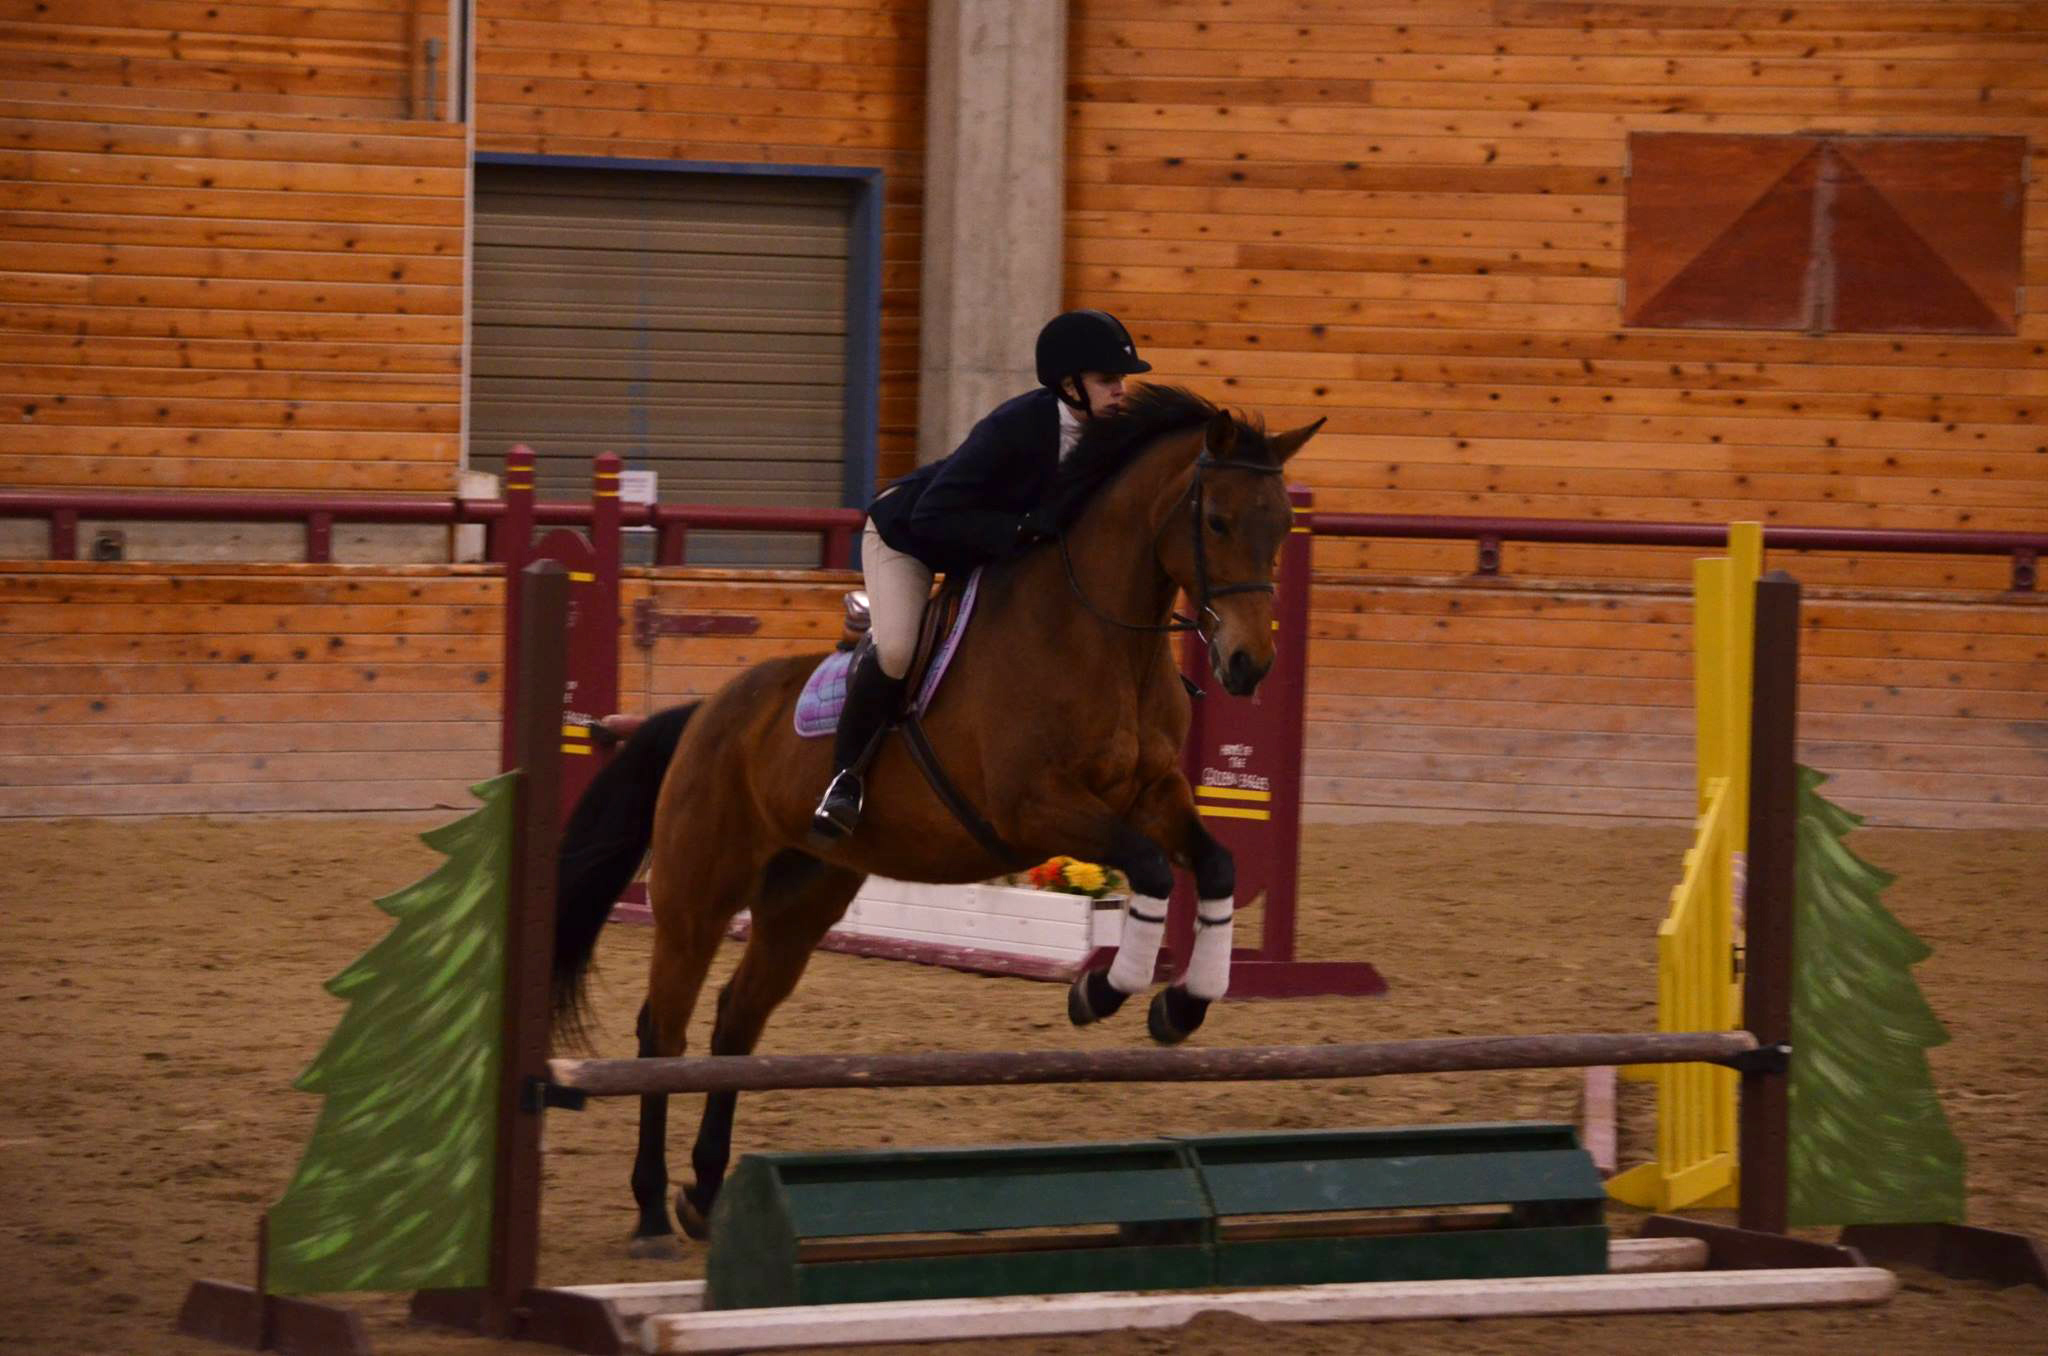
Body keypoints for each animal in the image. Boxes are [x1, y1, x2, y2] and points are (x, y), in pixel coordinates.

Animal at [557, 387, 1327, 1261]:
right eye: (1220, 521)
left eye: (1281, 526)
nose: (1248, 666)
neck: (1102, 638)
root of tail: (703, 715)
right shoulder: (1038, 810)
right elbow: (1155, 871)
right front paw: (1100, 990)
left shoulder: (1156, 796)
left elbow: (1217, 866)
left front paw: (1183, 1005)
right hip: (699, 895)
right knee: (665, 1030)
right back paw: (653, 1208)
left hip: (802, 897)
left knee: (735, 1021)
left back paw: (706, 1194)